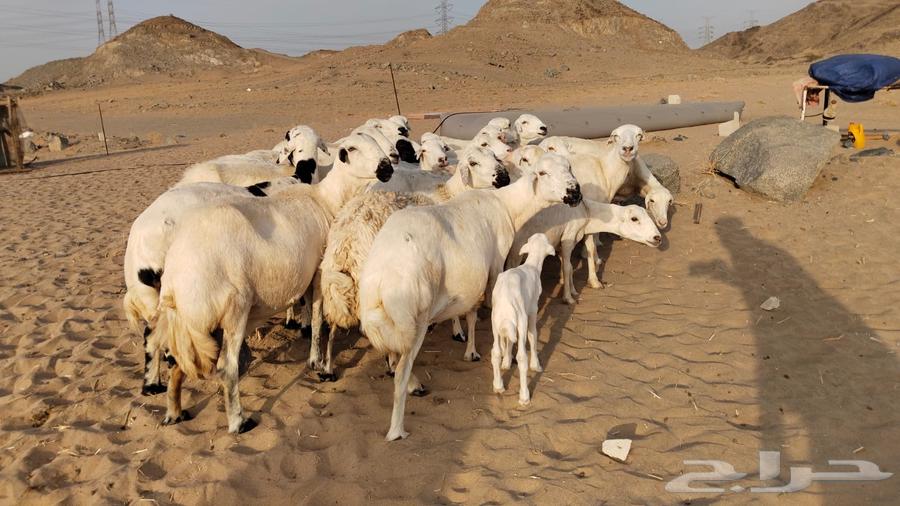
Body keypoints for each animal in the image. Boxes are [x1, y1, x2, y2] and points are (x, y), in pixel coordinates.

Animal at [154, 134, 393, 433]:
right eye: (352, 149)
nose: (387, 167)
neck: (327, 200)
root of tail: (177, 275)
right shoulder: (318, 274)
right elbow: (317, 319)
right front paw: (315, 360)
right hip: (234, 310)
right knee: (226, 368)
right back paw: (239, 421)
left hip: (186, 324)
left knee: (177, 363)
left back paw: (174, 413)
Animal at [311, 146, 507, 380]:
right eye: (474, 163)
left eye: (494, 156)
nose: (504, 177)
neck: (448, 194)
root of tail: (348, 241)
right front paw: (458, 331)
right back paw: (397, 369)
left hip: (335, 279)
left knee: (332, 322)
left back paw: (328, 368)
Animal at [490, 233, 556, 406]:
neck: (532, 265)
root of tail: (506, 303)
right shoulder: (532, 309)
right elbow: (533, 335)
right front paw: (536, 365)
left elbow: (507, 342)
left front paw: (506, 362)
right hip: (521, 318)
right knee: (521, 357)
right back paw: (524, 396)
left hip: (495, 321)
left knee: (495, 352)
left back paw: (498, 386)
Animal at [508, 200, 661, 305]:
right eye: (634, 219)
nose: (657, 237)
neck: (586, 211)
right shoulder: (568, 239)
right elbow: (567, 267)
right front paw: (568, 297)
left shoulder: (576, 236)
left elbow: (588, 253)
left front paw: (592, 283)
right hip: (515, 252)